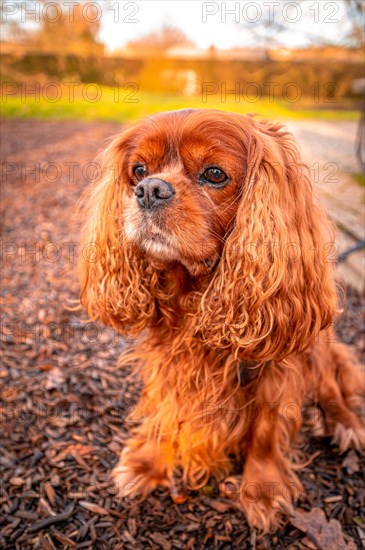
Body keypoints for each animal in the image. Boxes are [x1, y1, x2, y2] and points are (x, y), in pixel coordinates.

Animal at [78, 109, 362, 536]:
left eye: (215, 174)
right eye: (139, 170)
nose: (149, 190)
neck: (195, 293)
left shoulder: (277, 367)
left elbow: (265, 430)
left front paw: (261, 490)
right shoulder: (169, 359)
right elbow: (166, 408)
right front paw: (149, 461)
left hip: (318, 345)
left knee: (331, 384)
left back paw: (343, 421)